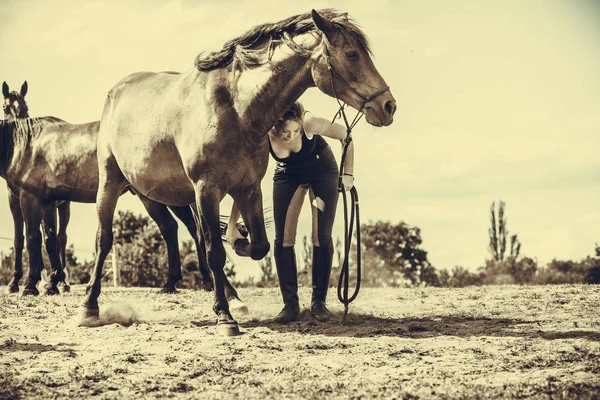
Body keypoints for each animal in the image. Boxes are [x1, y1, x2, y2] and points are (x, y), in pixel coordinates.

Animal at [82, 10, 396, 334]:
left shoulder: (247, 188)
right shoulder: (207, 189)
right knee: (104, 239)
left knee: (195, 236)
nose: (388, 106)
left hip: (163, 196)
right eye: (351, 53)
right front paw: (224, 317)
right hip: (112, 182)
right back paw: (89, 307)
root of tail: (116, 91)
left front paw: (237, 246)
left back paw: (232, 296)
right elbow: (216, 252)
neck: (235, 109)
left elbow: (257, 245)